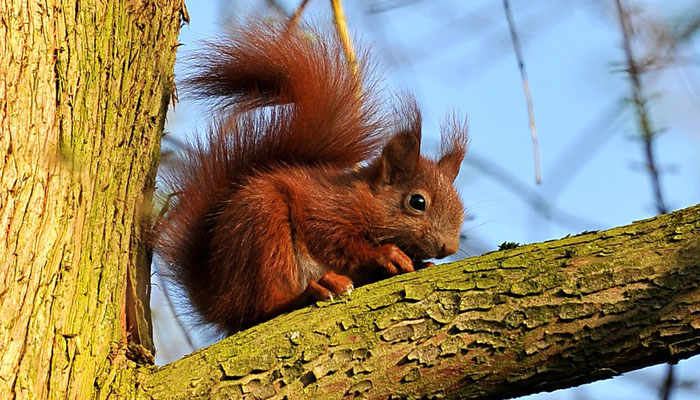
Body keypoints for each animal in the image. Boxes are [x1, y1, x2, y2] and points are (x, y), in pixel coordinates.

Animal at [156, 21, 468, 334]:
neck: (365, 199)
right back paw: (309, 292)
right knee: (262, 306)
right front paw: (387, 254)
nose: (449, 247)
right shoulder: (327, 210)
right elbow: (338, 243)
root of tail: (219, 301)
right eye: (417, 202)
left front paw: (420, 263)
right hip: (264, 228)